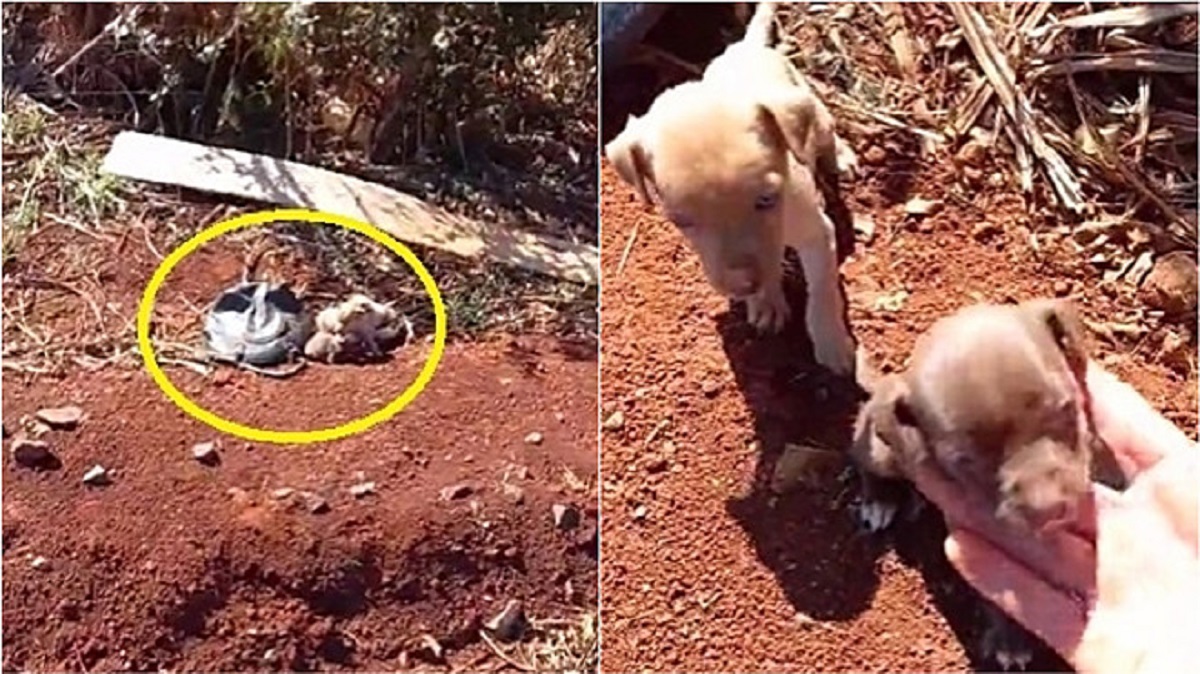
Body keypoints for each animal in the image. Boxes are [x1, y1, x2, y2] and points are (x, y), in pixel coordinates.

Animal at [604, 0, 859, 371]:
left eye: (768, 199)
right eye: (681, 221)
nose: (743, 285)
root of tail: (747, 47)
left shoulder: (817, 233)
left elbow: (823, 291)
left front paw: (833, 344)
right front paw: (766, 301)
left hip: (817, 112)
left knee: (826, 133)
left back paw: (840, 155)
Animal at [849, 297, 1128, 666]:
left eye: (1067, 409)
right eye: (965, 461)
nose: (1048, 510)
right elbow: (997, 594)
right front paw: (1010, 639)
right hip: (882, 451)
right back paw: (879, 499)